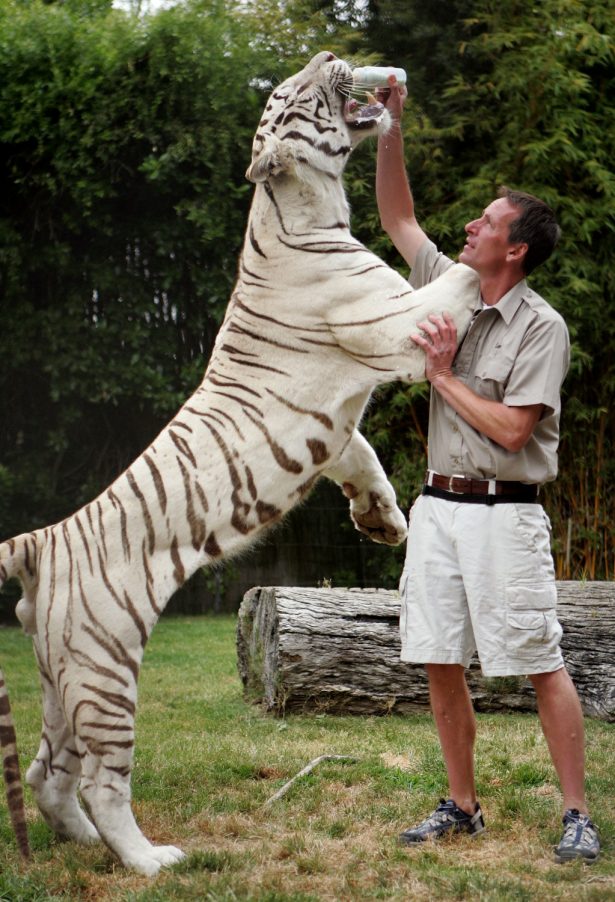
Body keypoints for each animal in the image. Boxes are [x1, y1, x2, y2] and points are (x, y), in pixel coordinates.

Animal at [0, 50, 478, 876]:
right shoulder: (391, 322)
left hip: (57, 674)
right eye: (299, 91)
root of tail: (42, 540)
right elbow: (458, 283)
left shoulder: (337, 417)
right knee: (97, 778)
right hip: (103, 667)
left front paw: (382, 523)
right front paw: (506, 240)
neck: (305, 207)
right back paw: (150, 859)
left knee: (47, 774)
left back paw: (88, 843)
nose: (330, 56)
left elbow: (360, 457)